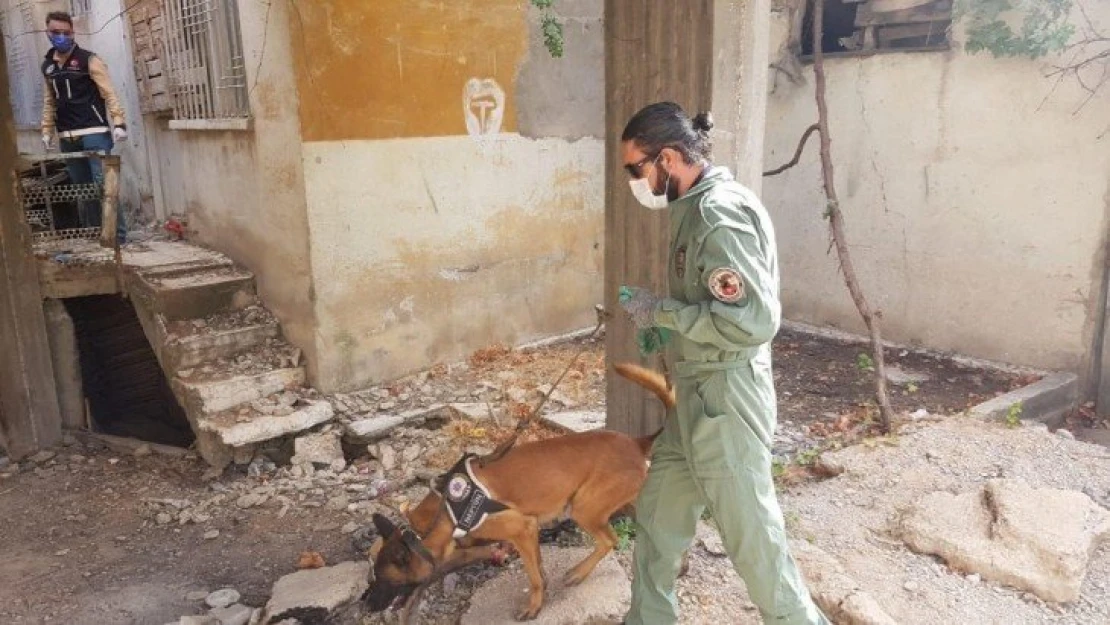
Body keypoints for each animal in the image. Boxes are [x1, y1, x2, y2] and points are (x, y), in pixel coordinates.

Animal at [368, 361, 670, 621]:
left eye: (383, 579)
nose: (366, 603)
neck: (446, 509)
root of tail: (637, 442)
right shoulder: (531, 530)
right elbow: (538, 566)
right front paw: (543, 590)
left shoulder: (521, 529)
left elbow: (533, 576)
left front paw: (534, 606)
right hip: (617, 502)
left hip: (584, 509)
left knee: (610, 540)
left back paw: (578, 573)